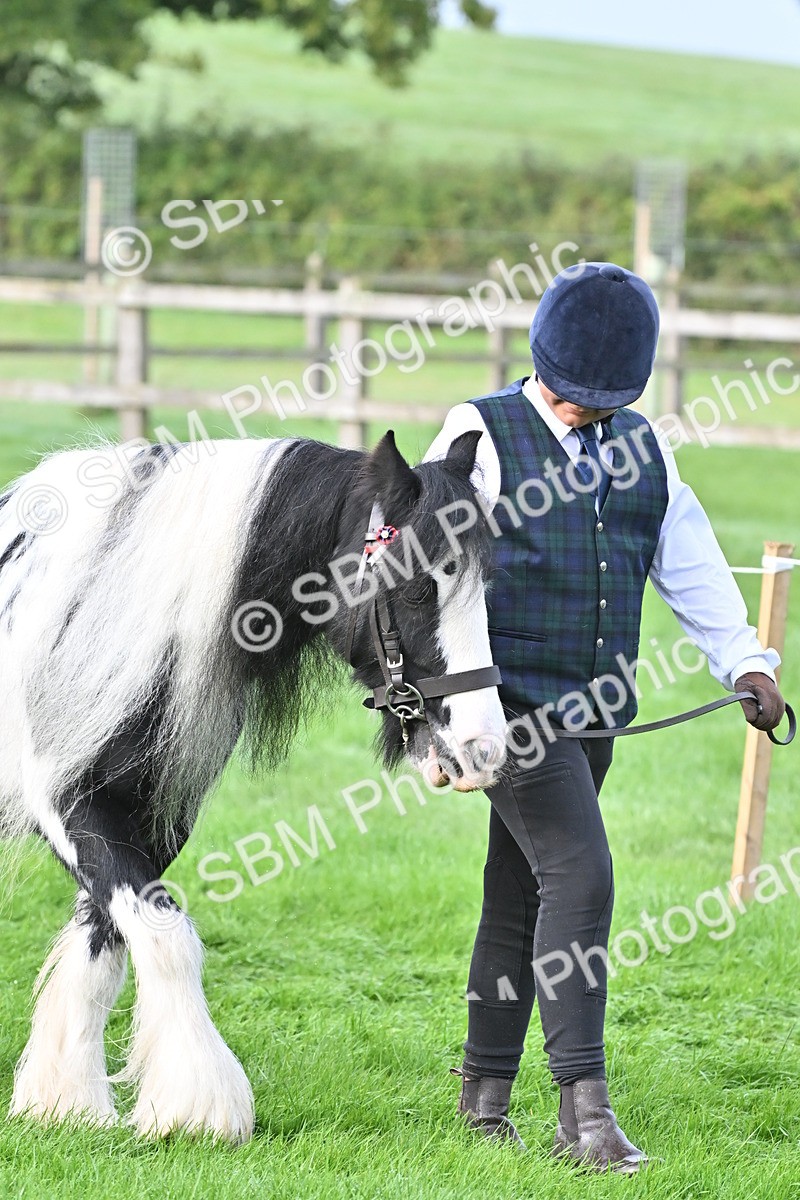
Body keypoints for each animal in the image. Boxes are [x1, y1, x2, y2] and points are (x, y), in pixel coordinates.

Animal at [0, 427, 507, 1143]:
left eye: (484, 587)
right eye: (413, 590)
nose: (483, 750)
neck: (103, 611)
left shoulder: (146, 812)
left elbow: (107, 940)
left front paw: (64, 1102)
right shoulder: (65, 803)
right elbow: (163, 934)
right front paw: (198, 1106)